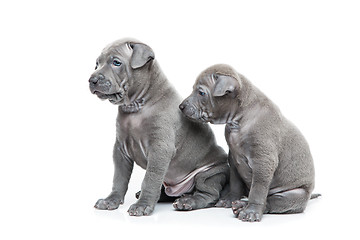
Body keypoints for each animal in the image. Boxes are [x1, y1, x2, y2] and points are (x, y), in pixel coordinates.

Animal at [87, 39, 228, 216]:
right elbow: (119, 178)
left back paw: (188, 201)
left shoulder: (160, 149)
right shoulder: (120, 150)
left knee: (208, 194)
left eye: (116, 62)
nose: (91, 80)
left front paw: (142, 206)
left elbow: (150, 179)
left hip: (208, 174)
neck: (136, 106)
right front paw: (111, 200)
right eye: (97, 64)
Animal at [180, 64, 318, 223]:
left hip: (293, 195)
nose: (181, 106)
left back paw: (243, 206)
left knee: (271, 201)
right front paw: (229, 200)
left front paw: (251, 212)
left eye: (201, 92)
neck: (239, 119)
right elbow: (235, 183)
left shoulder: (263, 162)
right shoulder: (234, 159)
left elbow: (257, 191)